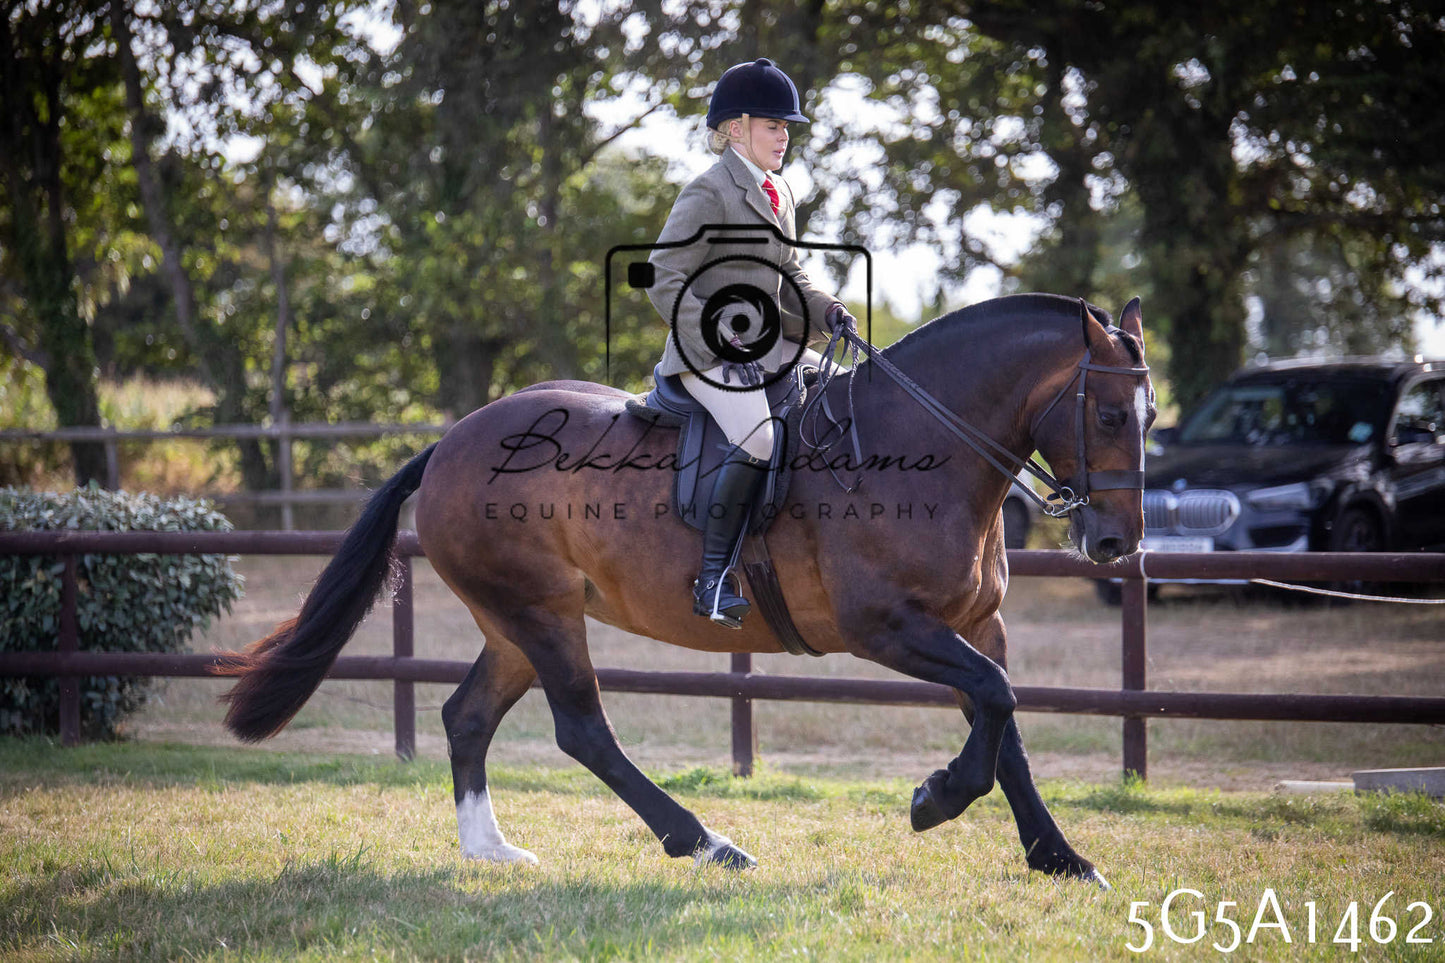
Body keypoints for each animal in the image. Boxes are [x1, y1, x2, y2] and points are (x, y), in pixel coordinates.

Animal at [217, 293, 1154, 888]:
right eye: (1109, 415)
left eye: (1147, 417)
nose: (1115, 543)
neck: (922, 445)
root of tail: (447, 442)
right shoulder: (888, 626)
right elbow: (994, 703)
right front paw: (934, 800)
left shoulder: (975, 624)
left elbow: (1006, 726)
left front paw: (1059, 857)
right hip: (541, 614)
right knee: (582, 731)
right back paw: (705, 842)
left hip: (514, 622)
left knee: (467, 717)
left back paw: (492, 851)